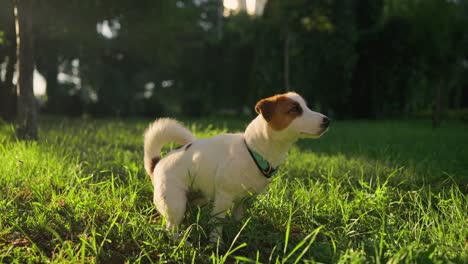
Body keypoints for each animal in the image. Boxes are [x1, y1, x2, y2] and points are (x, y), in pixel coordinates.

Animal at [143, 92, 330, 243]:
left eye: (306, 106)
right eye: (295, 109)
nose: (327, 120)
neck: (253, 150)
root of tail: (157, 163)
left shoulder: (243, 201)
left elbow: (237, 220)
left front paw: (238, 234)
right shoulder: (223, 198)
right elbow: (217, 225)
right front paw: (215, 244)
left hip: (197, 198)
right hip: (175, 202)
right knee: (170, 229)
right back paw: (183, 242)